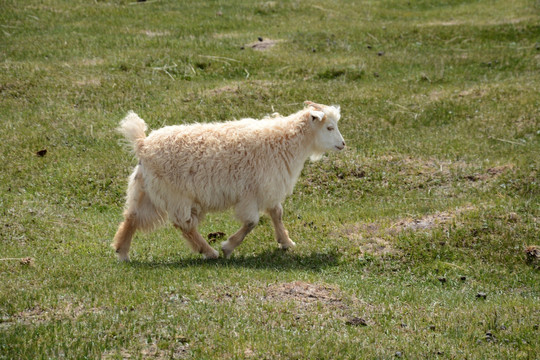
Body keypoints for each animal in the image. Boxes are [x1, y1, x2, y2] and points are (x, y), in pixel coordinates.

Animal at [113, 100, 346, 260]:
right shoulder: (250, 193)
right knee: (184, 225)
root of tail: (143, 144)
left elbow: (277, 214)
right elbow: (252, 222)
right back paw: (210, 252)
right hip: (175, 194)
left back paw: (122, 252)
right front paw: (228, 246)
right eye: (329, 127)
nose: (343, 144)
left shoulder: (268, 188)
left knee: (132, 216)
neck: (284, 140)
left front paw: (286, 242)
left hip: (145, 190)